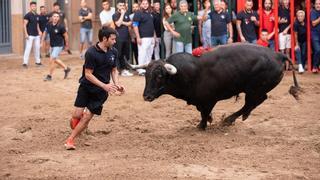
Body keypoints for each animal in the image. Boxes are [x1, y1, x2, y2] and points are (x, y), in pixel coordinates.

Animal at [140, 44, 300, 130]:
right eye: (146, 76)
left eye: (159, 76)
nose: (146, 96)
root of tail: (278, 55)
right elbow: (203, 112)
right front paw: (207, 121)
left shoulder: (209, 100)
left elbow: (204, 113)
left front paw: (202, 125)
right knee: (255, 102)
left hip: (254, 89)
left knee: (254, 101)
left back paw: (230, 119)